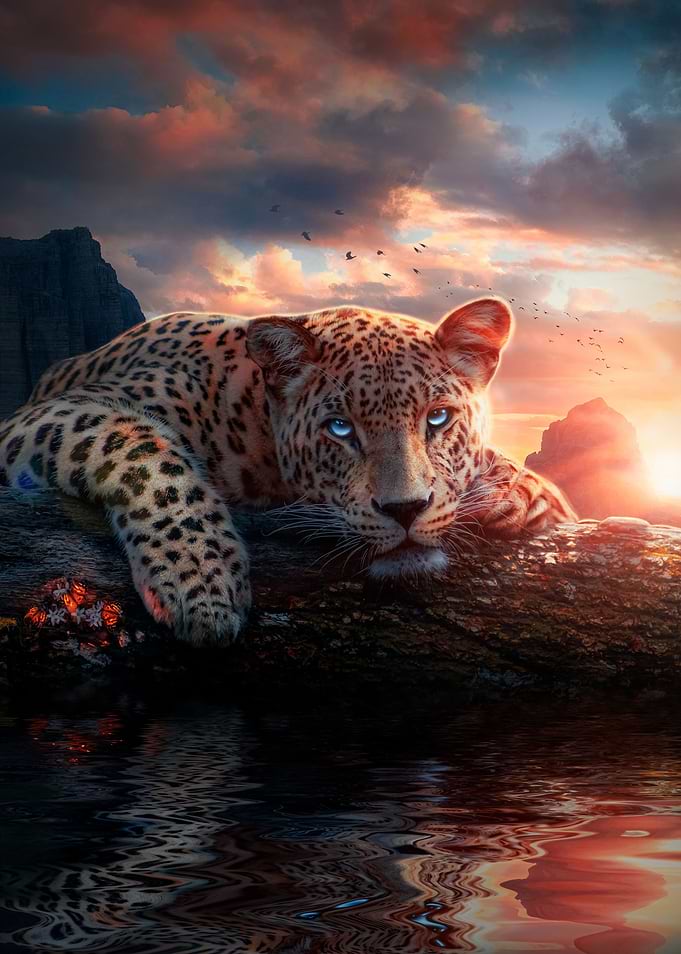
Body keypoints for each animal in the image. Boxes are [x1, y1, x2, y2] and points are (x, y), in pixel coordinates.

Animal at [0, 296, 575, 645]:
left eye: (438, 418)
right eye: (340, 428)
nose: (406, 509)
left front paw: (523, 491)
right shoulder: (52, 414)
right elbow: (141, 451)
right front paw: (202, 581)